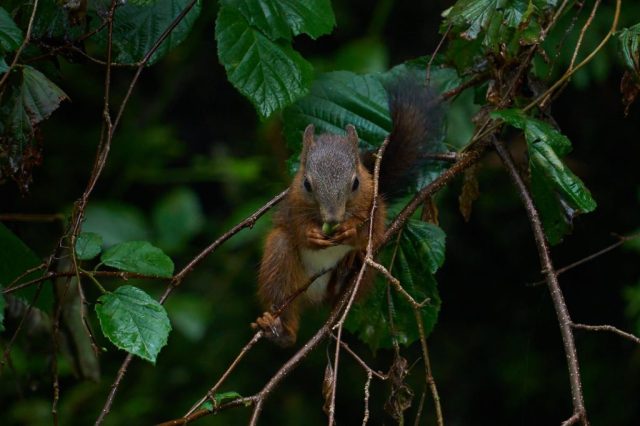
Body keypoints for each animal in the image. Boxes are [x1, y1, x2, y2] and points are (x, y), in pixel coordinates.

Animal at [253, 78, 442, 347]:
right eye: (307, 184)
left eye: (356, 183)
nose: (333, 218)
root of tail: (316, 296)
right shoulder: (292, 205)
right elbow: (297, 226)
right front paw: (311, 234)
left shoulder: (374, 203)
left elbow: (372, 228)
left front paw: (350, 230)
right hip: (280, 261)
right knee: (281, 289)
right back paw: (278, 329)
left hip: (367, 271)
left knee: (344, 286)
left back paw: (346, 269)